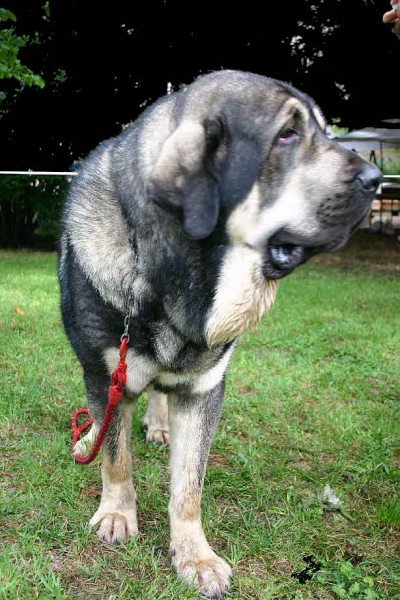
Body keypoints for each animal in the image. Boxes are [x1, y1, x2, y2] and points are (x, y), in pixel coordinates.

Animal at [57, 69, 382, 596]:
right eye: (286, 135)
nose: (378, 180)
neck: (174, 279)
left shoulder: (203, 389)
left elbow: (189, 484)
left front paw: (195, 555)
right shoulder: (107, 374)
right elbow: (116, 456)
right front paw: (116, 514)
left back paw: (159, 425)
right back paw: (89, 438)